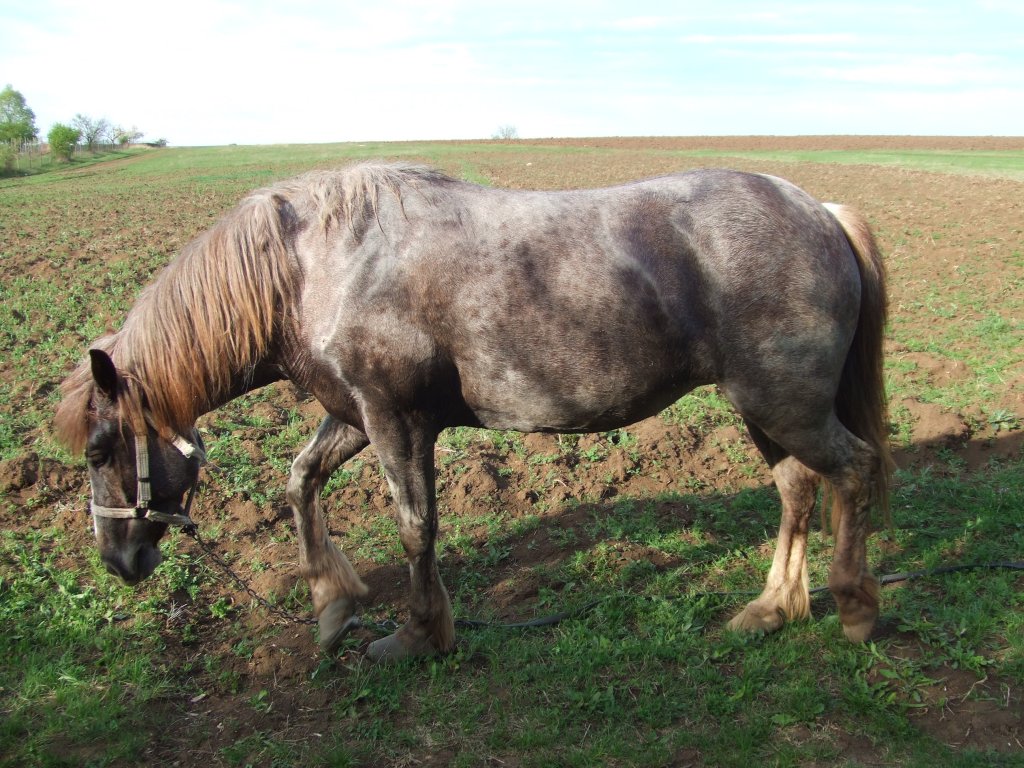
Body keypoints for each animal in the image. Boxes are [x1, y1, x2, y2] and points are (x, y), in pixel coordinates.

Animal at [54, 162, 888, 663]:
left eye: (98, 450)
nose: (119, 561)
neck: (316, 267)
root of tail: (820, 211)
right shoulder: (354, 415)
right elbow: (300, 480)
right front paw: (333, 604)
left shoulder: (396, 421)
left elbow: (415, 525)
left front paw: (418, 634)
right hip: (764, 410)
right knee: (797, 489)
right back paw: (772, 608)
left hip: (783, 404)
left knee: (852, 473)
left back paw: (854, 607)